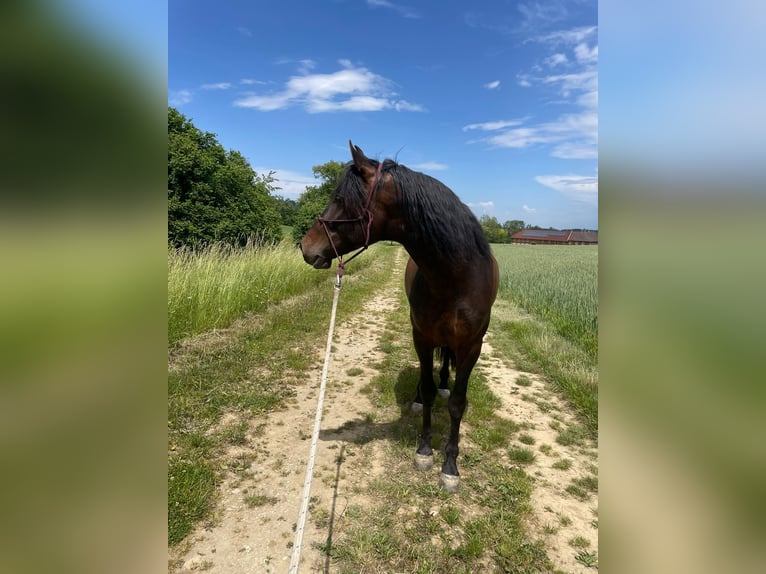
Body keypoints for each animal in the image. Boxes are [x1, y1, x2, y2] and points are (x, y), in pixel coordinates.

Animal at [300, 141, 499, 492]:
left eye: (340, 199)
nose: (305, 247)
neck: (456, 277)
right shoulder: (422, 336)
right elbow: (429, 392)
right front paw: (425, 450)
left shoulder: (472, 346)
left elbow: (457, 403)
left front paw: (450, 466)